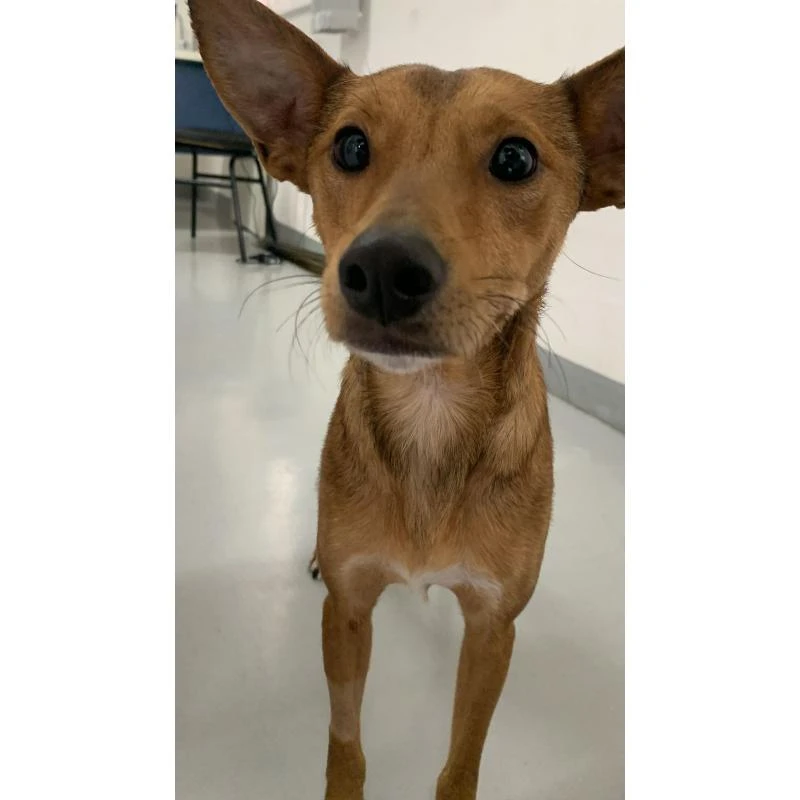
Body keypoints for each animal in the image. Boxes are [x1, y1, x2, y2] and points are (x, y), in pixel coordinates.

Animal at [189, 2, 623, 797]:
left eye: (516, 159)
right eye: (350, 145)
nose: (384, 268)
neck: (431, 415)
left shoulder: (494, 630)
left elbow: (461, 760)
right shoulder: (346, 612)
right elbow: (345, 744)